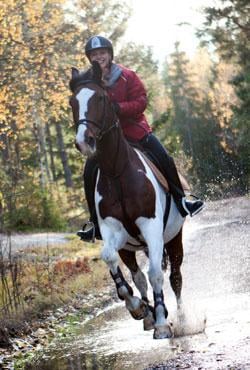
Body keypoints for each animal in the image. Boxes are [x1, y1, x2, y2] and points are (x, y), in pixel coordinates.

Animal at [69, 62, 185, 340]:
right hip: (130, 247)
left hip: (174, 238)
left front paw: (163, 323)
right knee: (138, 275)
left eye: (101, 98)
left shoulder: (151, 227)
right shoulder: (113, 231)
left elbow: (156, 274)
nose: (84, 141)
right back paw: (149, 313)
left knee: (175, 277)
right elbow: (110, 259)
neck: (117, 170)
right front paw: (138, 307)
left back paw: (184, 319)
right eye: (72, 102)